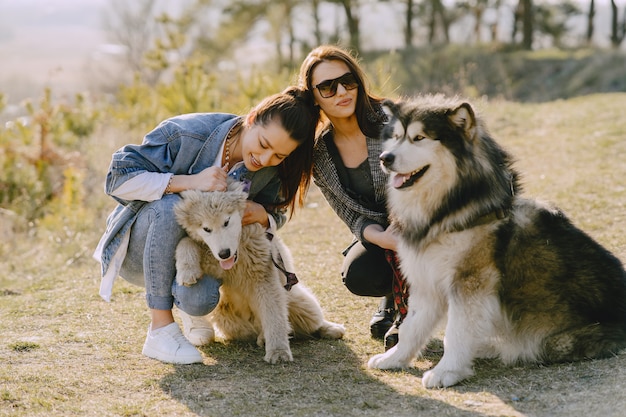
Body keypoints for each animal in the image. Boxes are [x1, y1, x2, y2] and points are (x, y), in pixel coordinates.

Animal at [173, 180, 344, 362]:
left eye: (226, 222)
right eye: (206, 229)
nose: (224, 253)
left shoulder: (264, 277)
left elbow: (274, 315)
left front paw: (278, 352)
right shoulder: (213, 260)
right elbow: (186, 241)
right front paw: (186, 271)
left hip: (298, 301)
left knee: (311, 321)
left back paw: (332, 328)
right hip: (228, 320)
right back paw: (263, 337)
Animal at [366, 94, 624, 386]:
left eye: (419, 138)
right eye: (396, 137)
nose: (385, 158)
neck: (449, 209)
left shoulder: (470, 282)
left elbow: (455, 332)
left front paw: (447, 371)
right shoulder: (426, 279)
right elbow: (412, 328)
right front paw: (394, 359)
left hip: (558, 341)